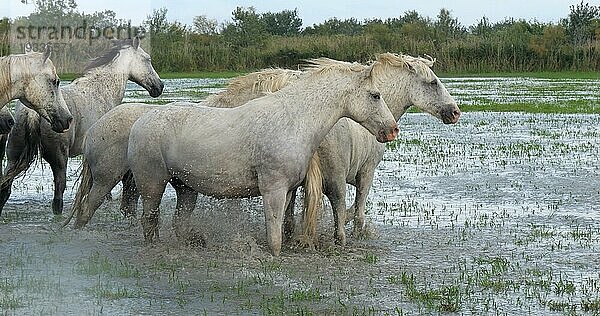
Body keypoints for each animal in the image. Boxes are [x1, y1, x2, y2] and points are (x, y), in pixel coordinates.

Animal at [0, 37, 163, 216]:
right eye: (147, 59)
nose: (159, 86)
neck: (102, 89)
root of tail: (32, 113)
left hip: (12, 158)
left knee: (5, 189)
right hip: (59, 162)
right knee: (58, 198)